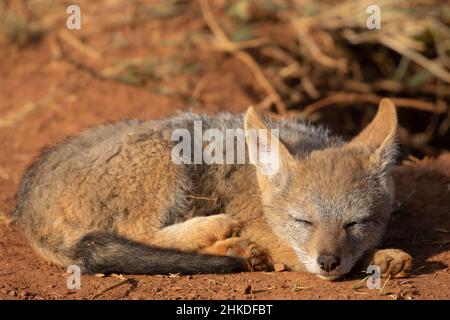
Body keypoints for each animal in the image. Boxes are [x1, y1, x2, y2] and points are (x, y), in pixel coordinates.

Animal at [11, 98, 412, 280]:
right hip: (166, 149)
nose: (328, 261)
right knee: (136, 232)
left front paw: (382, 258)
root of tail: (28, 198)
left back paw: (232, 247)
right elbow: (301, 257)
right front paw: (379, 258)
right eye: (303, 221)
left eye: (355, 223)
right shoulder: (275, 236)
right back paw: (220, 233)